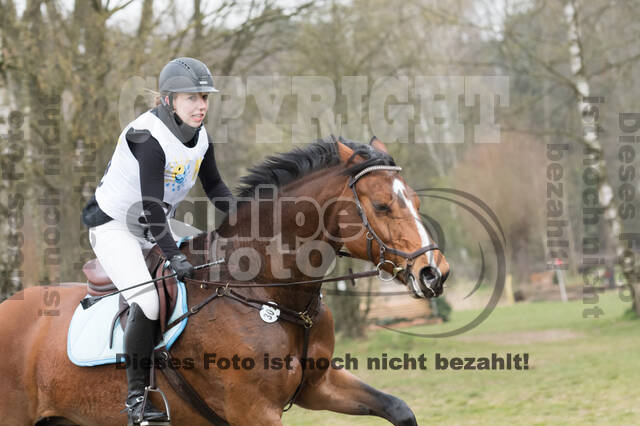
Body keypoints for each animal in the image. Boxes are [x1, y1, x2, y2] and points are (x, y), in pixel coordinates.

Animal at [0, 137, 450, 426]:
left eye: (416, 200)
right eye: (382, 205)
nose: (434, 272)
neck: (270, 295)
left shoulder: (318, 386)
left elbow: (399, 410)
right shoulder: (255, 411)